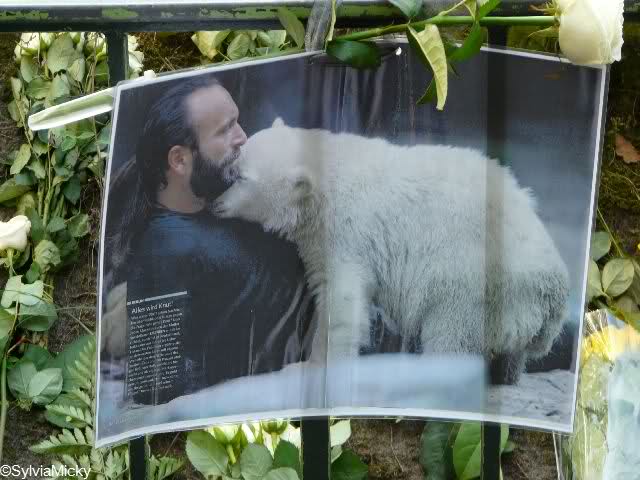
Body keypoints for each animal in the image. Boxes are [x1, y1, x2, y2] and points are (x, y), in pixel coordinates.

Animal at [214, 118, 570, 385]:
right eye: (233, 164)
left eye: (240, 177)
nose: (216, 204)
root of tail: (554, 290)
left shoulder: (348, 231)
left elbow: (342, 302)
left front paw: (310, 367)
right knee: (510, 354)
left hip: (472, 283)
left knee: (450, 336)